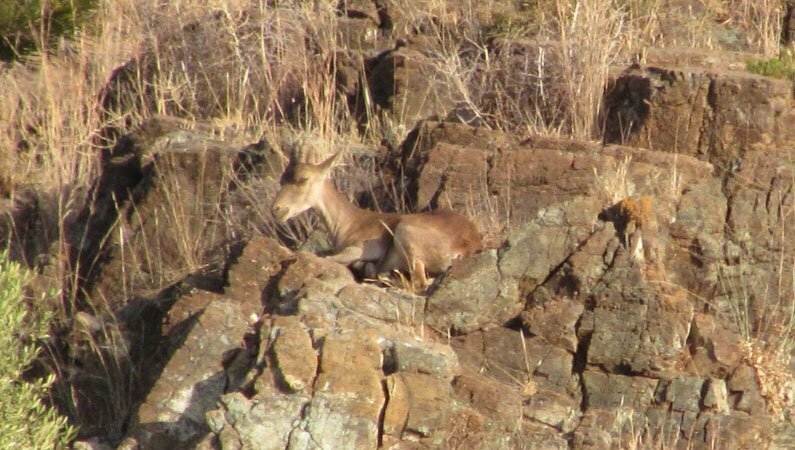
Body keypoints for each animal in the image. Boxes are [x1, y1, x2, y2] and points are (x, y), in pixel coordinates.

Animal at [274, 151, 482, 284]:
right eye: (282, 179)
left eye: (304, 179)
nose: (277, 209)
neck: (350, 221)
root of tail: (466, 244)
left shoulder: (359, 250)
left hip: (405, 235)